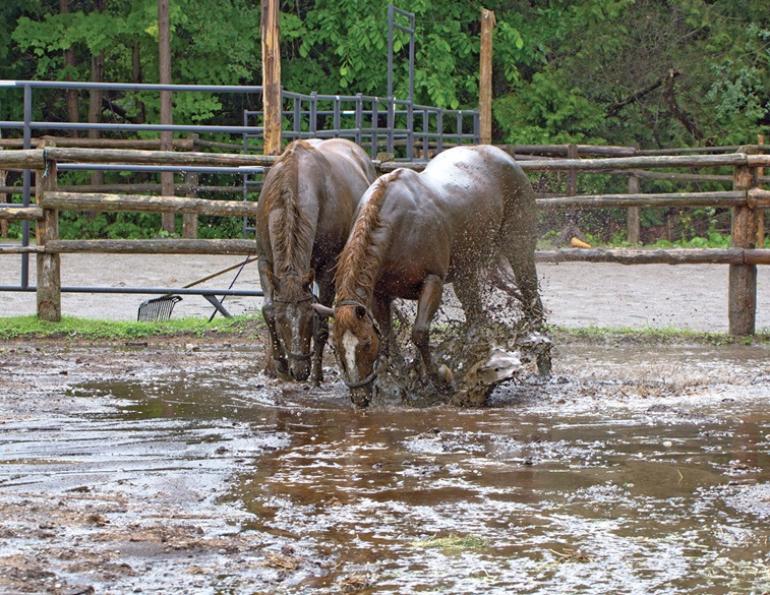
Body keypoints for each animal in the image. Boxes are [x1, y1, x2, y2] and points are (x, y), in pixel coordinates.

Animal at [256, 138, 377, 384]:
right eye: (282, 321)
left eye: (308, 318)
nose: (299, 371)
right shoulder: (265, 262)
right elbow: (268, 308)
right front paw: (278, 363)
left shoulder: (327, 271)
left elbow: (321, 326)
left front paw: (316, 375)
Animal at [312, 144, 548, 407]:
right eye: (336, 348)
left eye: (365, 343)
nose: (360, 397)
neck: (399, 226)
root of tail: (505, 157)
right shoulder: (379, 295)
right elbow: (388, 339)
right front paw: (398, 383)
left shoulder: (432, 282)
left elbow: (419, 334)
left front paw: (440, 379)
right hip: (467, 274)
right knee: (476, 318)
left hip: (519, 252)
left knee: (532, 301)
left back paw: (543, 364)